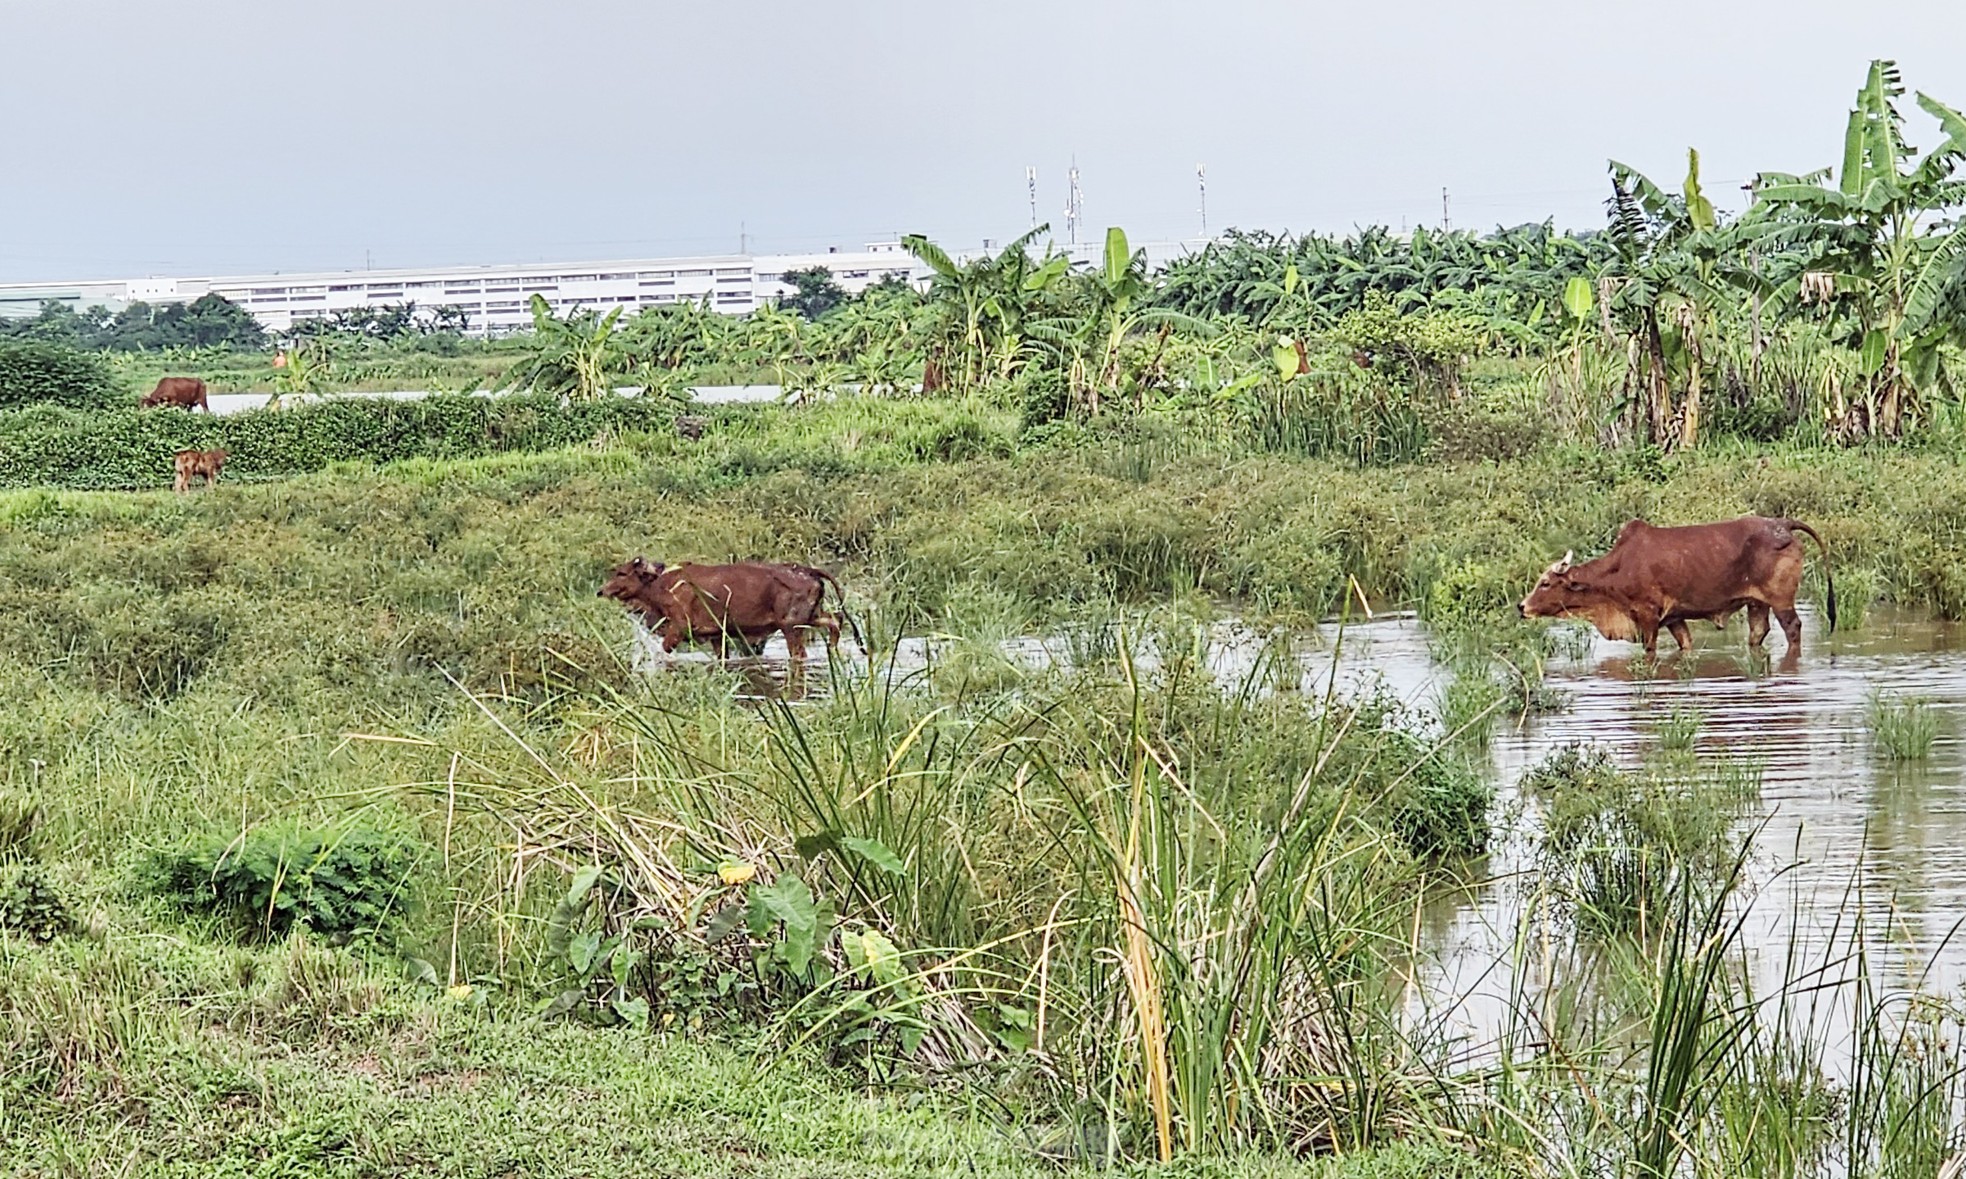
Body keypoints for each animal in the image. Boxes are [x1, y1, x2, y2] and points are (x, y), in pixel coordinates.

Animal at [1509, 514, 1832, 660]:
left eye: (1545, 582)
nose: (1522, 606)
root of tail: (1783, 524)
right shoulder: (1675, 618)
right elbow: (1685, 645)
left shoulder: (1648, 616)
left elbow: (1650, 651)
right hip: (1757, 603)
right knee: (1757, 632)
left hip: (1781, 600)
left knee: (1793, 629)